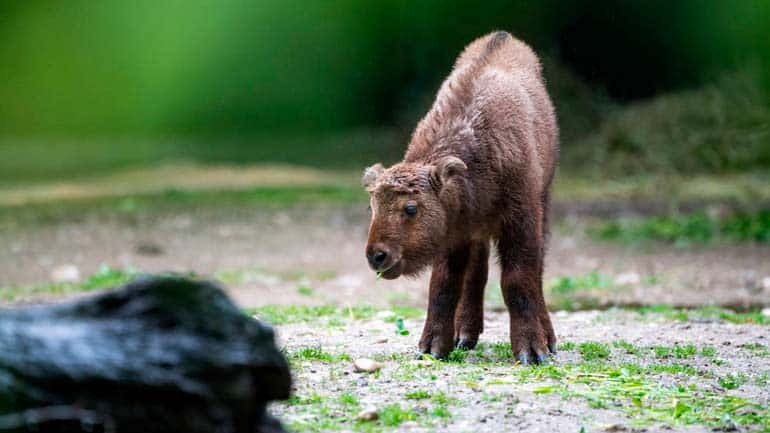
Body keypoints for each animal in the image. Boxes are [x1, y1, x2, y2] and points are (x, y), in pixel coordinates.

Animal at [364, 31, 556, 362]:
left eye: (411, 208)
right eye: (372, 206)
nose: (377, 255)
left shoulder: (521, 220)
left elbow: (518, 279)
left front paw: (532, 351)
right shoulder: (453, 234)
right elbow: (444, 284)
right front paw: (432, 347)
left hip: (542, 201)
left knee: (535, 272)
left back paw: (548, 339)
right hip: (476, 234)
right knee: (476, 273)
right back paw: (464, 334)